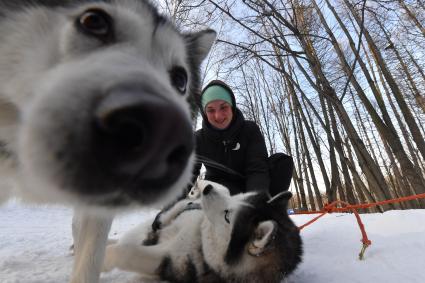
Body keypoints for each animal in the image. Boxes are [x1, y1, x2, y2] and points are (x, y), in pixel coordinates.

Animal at [102, 182, 302, 283]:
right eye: (240, 197)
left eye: (227, 216)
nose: (207, 189)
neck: (200, 237)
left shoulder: (170, 264)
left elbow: (127, 252)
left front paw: (106, 258)